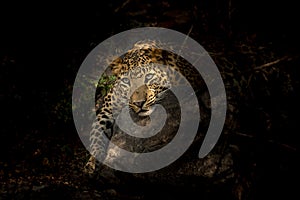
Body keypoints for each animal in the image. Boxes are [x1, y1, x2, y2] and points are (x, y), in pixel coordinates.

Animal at [84, 40, 206, 173]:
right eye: (126, 81)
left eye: (148, 77)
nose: (139, 103)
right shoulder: (106, 110)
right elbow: (96, 135)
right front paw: (93, 161)